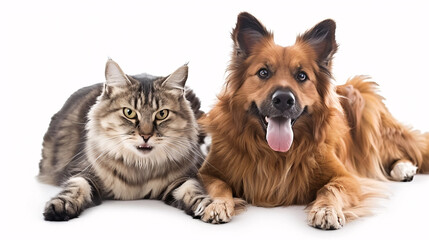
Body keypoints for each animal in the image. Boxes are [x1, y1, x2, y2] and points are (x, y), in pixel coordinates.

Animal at [38, 59, 211, 221]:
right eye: (129, 112)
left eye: (162, 114)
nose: (146, 136)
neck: (140, 166)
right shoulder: (82, 171)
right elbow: (76, 187)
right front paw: (61, 206)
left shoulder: (182, 179)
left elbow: (193, 190)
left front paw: (209, 207)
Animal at [198, 12, 428, 229]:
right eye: (263, 72)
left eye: (301, 76)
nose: (284, 99)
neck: (274, 154)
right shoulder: (207, 171)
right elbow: (220, 186)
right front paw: (217, 204)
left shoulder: (347, 178)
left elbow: (330, 189)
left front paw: (326, 210)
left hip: (364, 106)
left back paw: (403, 167)